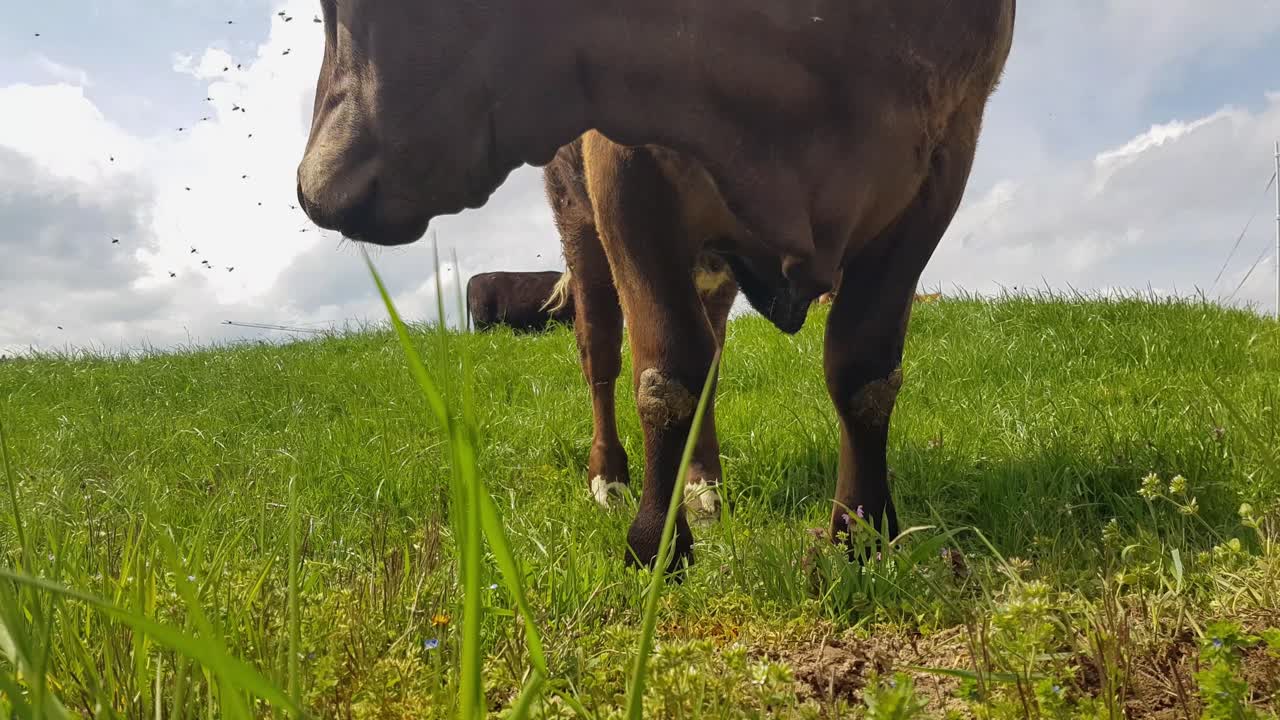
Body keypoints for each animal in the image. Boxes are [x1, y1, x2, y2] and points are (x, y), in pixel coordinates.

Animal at [295, 0, 1017, 572]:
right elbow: (666, 376)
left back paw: (705, 484)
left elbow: (863, 374)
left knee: (713, 356)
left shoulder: (946, 154)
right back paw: (610, 479)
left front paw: (860, 537)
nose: (313, 187)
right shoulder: (625, 160)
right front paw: (656, 547)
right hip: (581, 227)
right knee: (601, 357)